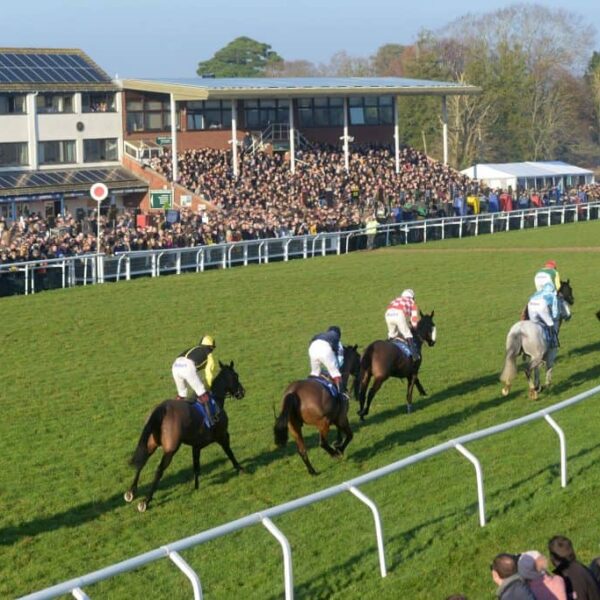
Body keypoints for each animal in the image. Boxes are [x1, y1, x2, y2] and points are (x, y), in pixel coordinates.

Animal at [124, 360, 246, 510]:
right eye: (236, 375)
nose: (242, 392)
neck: (216, 400)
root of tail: (162, 408)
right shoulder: (222, 435)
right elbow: (230, 453)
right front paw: (240, 468)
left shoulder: (196, 446)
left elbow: (196, 467)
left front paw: (196, 487)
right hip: (170, 449)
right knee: (159, 470)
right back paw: (146, 501)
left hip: (151, 442)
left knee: (141, 462)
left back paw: (131, 492)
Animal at [274, 344, 360, 476]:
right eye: (358, 357)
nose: (360, 371)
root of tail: (293, 392)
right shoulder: (341, 417)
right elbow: (350, 435)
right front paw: (339, 448)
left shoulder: (336, 417)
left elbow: (340, 432)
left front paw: (337, 442)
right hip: (322, 422)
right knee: (322, 443)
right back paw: (334, 454)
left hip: (294, 427)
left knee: (302, 450)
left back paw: (312, 471)